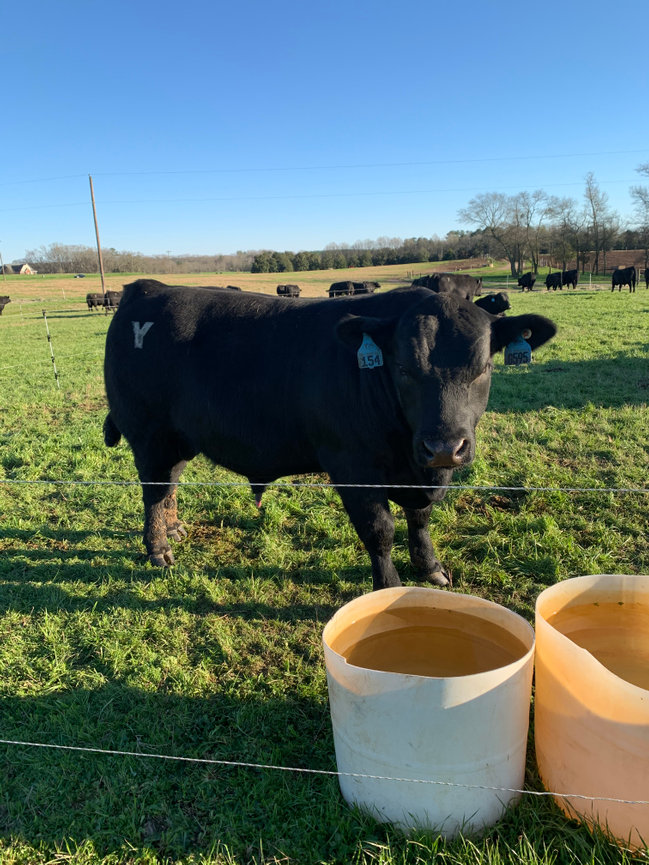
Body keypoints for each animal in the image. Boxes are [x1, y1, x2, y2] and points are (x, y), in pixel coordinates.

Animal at [103, 279, 556, 590]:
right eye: (404, 368)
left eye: (483, 367)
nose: (445, 446)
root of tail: (148, 288)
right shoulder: (352, 465)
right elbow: (380, 530)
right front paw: (388, 587)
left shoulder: (421, 472)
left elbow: (421, 519)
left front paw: (430, 567)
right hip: (149, 435)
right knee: (154, 490)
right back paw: (159, 548)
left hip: (179, 439)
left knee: (170, 483)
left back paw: (174, 528)